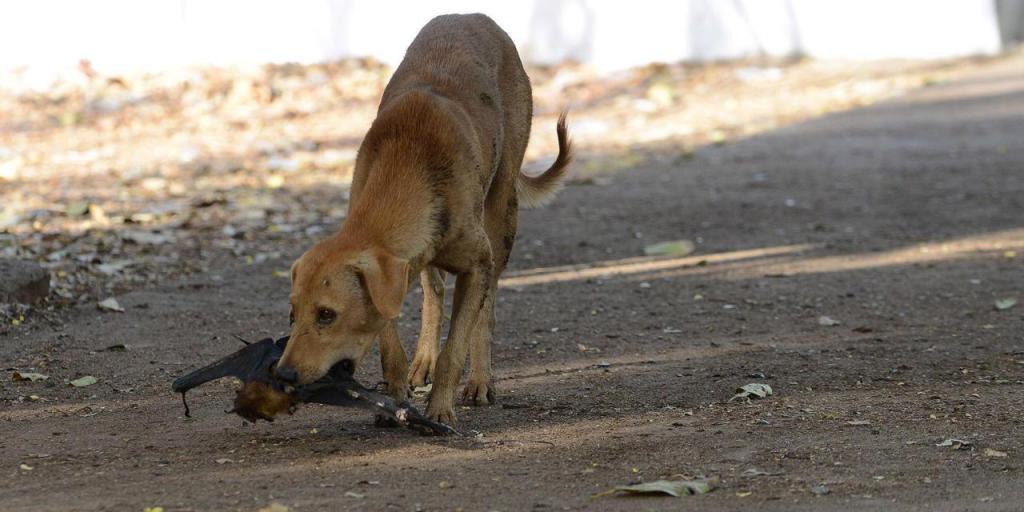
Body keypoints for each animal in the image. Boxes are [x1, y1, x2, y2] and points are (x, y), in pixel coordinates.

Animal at [276, 14, 573, 425]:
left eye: (326, 314)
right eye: (292, 313)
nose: (283, 375)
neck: (407, 165)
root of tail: (473, 16)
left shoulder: (477, 265)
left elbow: (457, 346)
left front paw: (441, 411)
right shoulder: (393, 274)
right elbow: (390, 346)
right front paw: (396, 397)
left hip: (502, 217)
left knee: (487, 307)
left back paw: (480, 380)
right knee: (434, 294)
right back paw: (423, 361)